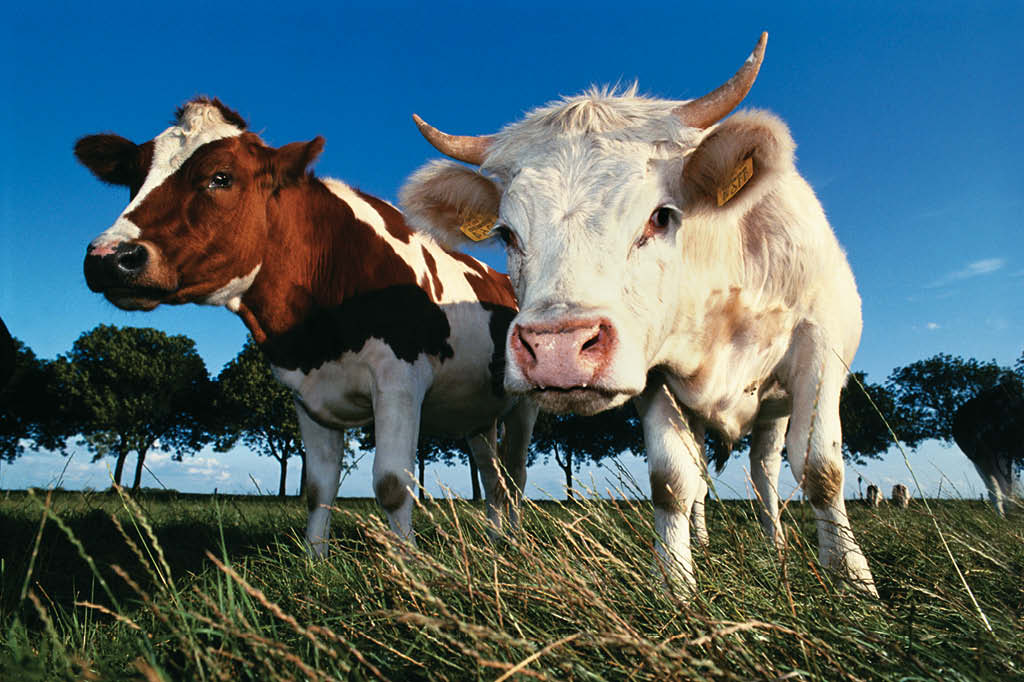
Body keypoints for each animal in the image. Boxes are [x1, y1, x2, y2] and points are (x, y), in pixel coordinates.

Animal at [76, 96, 540, 552]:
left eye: (221, 177)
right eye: (133, 178)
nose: (108, 257)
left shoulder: (399, 380)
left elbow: (392, 484)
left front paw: (407, 564)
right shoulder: (307, 395)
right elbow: (318, 489)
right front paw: (316, 561)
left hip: (524, 403)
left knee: (514, 476)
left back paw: (515, 543)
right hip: (478, 412)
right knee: (493, 477)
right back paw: (495, 542)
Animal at [395, 31, 876, 593]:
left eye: (661, 216)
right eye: (507, 234)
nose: (558, 349)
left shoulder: (819, 345)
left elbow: (821, 468)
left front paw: (852, 579)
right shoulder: (654, 375)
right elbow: (671, 479)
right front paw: (675, 584)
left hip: (773, 407)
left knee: (764, 473)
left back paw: (774, 545)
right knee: (702, 475)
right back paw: (705, 541)